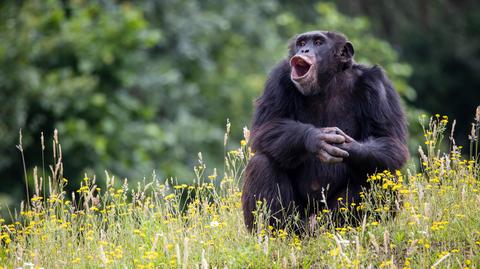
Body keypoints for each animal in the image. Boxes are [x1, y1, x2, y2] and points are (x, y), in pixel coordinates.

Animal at [242, 30, 406, 230]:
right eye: (302, 42)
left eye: (318, 42)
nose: (304, 49)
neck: (328, 81)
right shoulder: (278, 78)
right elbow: (266, 126)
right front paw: (316, 138)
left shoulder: (377, 84)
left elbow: (389, 140)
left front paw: (349, 147)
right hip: (297, 223)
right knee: (262, 162)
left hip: (327, 220)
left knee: (382, 173)